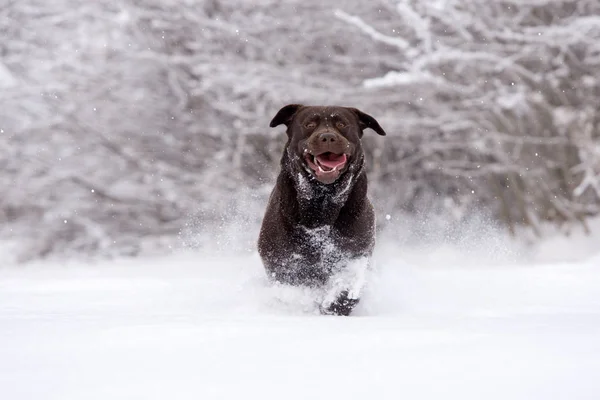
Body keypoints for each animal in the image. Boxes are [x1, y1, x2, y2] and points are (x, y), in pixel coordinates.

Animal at [256, 104, 386, 316]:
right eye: (309, 124)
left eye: (342, 124)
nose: (328, 137)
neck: (322, 201)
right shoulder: (280, 259)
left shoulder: (355, 253)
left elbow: (347, 286)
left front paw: (334, 305)